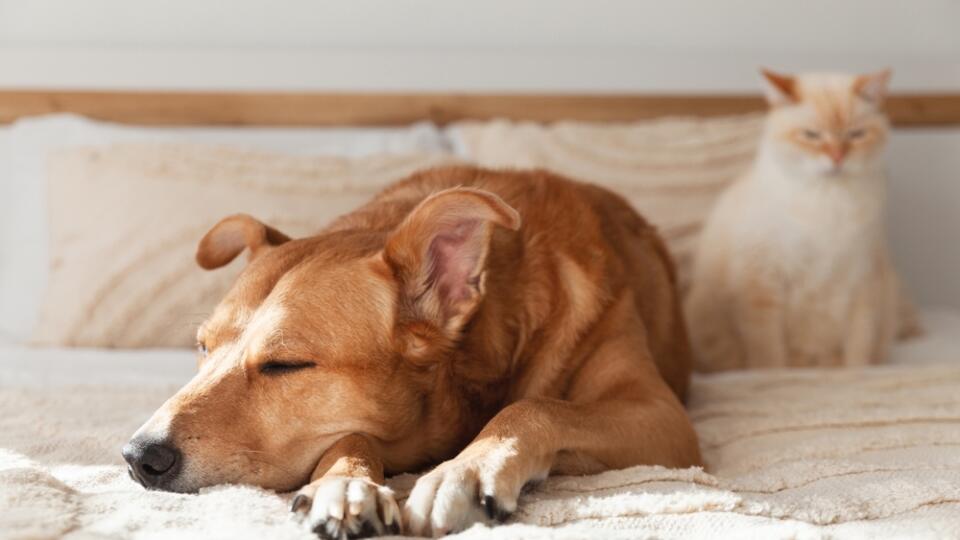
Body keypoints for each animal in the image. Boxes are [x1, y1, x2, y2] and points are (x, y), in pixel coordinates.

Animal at [124, 167, 700, 536]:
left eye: (284, 364)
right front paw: (346, 484)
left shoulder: (660, 416)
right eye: (202, 348)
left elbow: (537, 406)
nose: (136, 457)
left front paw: (463, 471)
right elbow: (350, 435)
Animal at [688, 68, 920, 372]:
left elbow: (858, 348)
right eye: (812, 135)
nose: (837, 157)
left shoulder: (863, 278)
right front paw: (775, 374)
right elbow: (769, 354)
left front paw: (856, 372)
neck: (828, 202)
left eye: (856, 135)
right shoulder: (763, 282)